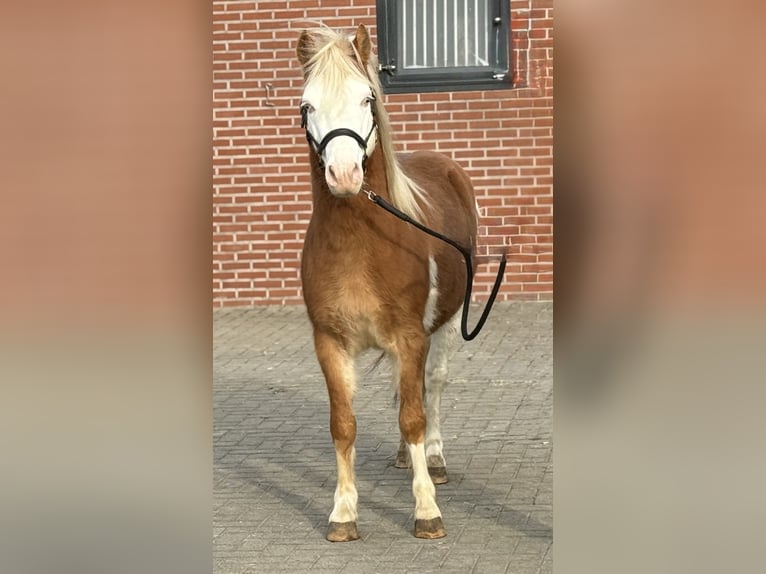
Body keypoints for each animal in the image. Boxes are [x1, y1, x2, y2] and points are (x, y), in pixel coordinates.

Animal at [296, 24, 480, 541]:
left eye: (366, 98)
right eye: (307, 105)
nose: (343, 175)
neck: (363, 246)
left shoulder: (412, 335)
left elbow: (414, 415)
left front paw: (427, 510)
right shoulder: (330, 343)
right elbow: (343, 424)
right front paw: (343, 514)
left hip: (447, 324)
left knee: (430, 388)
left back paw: (433, 459)